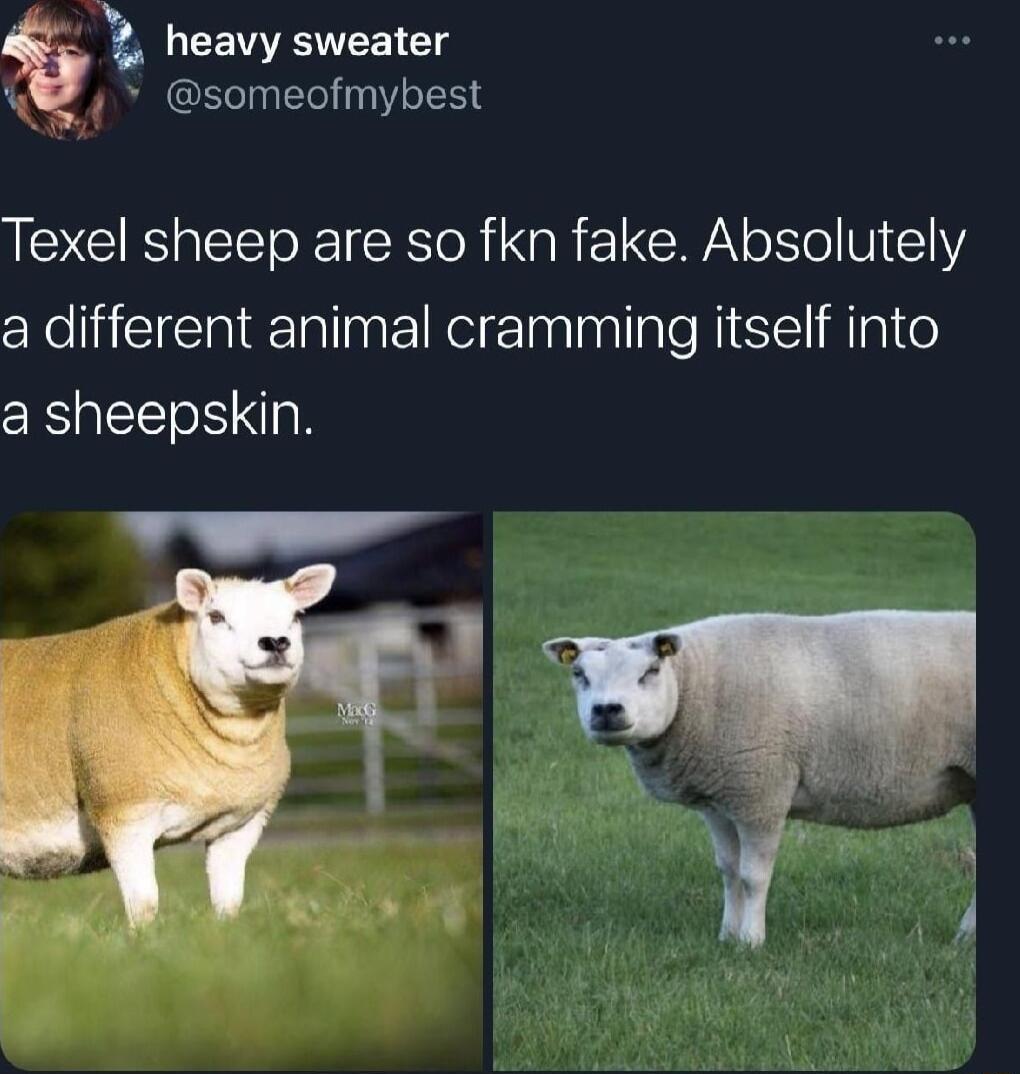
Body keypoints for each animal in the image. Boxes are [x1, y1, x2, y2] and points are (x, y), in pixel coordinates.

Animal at [0, 564, 335, 926]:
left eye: (296, 616)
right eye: (216, 616)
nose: (275, 642)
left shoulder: (242, 823)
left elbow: (229, 902)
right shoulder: (123, 810)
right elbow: (144, 903)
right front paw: (144, 937)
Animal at [542, 611, 976, 947]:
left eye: (651, 671)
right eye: (579, 674)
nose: (607, 710)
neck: (695, 684)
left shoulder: (761, 793)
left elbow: (753, 877)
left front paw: (751, 941)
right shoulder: (719, 802)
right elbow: (728, 871)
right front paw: (726, 936)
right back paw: (965, 938)